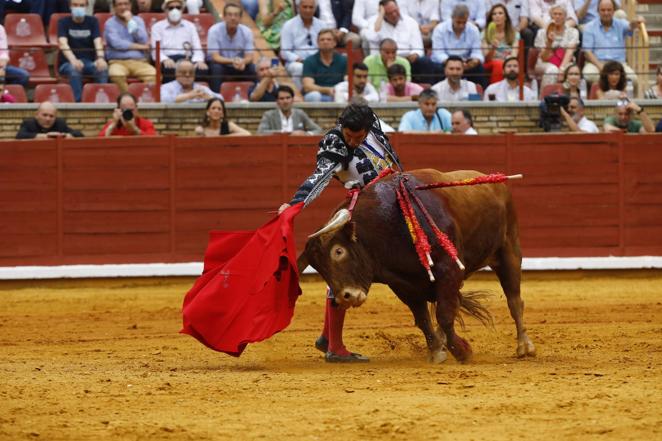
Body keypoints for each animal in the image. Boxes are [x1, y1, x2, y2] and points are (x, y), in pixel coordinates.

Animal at [300, 168, 540, 360]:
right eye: (318, 266)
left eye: (338, 251)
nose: (345, 297)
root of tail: (495, 182)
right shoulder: (403, 284)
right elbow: (424, 318)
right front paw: (437, 351)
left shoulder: (449, 269)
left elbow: (444, 314)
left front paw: (461, 351)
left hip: (509, 250)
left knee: (514, 301)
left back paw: (524, 347)